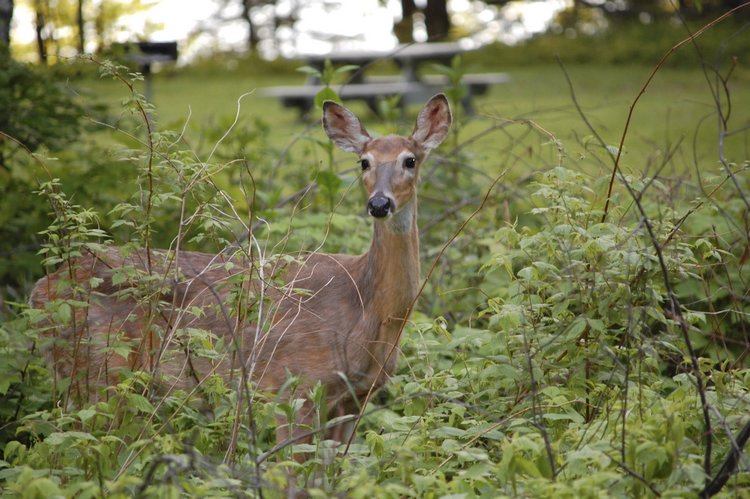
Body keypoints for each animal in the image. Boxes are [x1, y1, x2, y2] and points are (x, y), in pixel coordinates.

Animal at [30, 92, 452, 456]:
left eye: (410, 160)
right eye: (364, 161)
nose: (379, 203)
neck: (367, 308)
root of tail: (40, 289)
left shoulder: (355, 398)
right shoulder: (294, 384)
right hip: (95, 367)